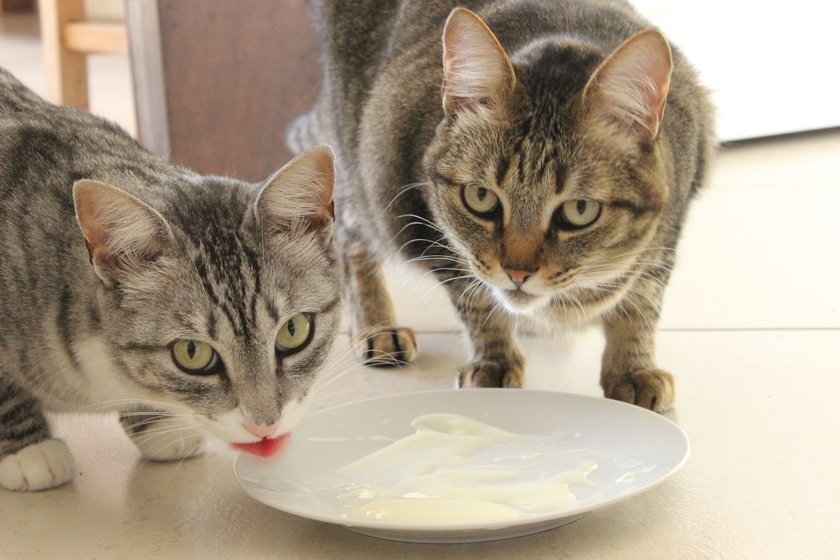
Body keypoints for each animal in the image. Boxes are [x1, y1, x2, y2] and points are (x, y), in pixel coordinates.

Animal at [290, 0, 716, 412]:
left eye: (579, 210)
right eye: (481, 198)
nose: (517, 272)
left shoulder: (669, 225)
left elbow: (641, 302)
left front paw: (632, 369)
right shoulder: (431, 225)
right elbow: (476, 298)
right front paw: (494, 361)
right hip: (360, 159)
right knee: (351, 236)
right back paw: (376, 328)